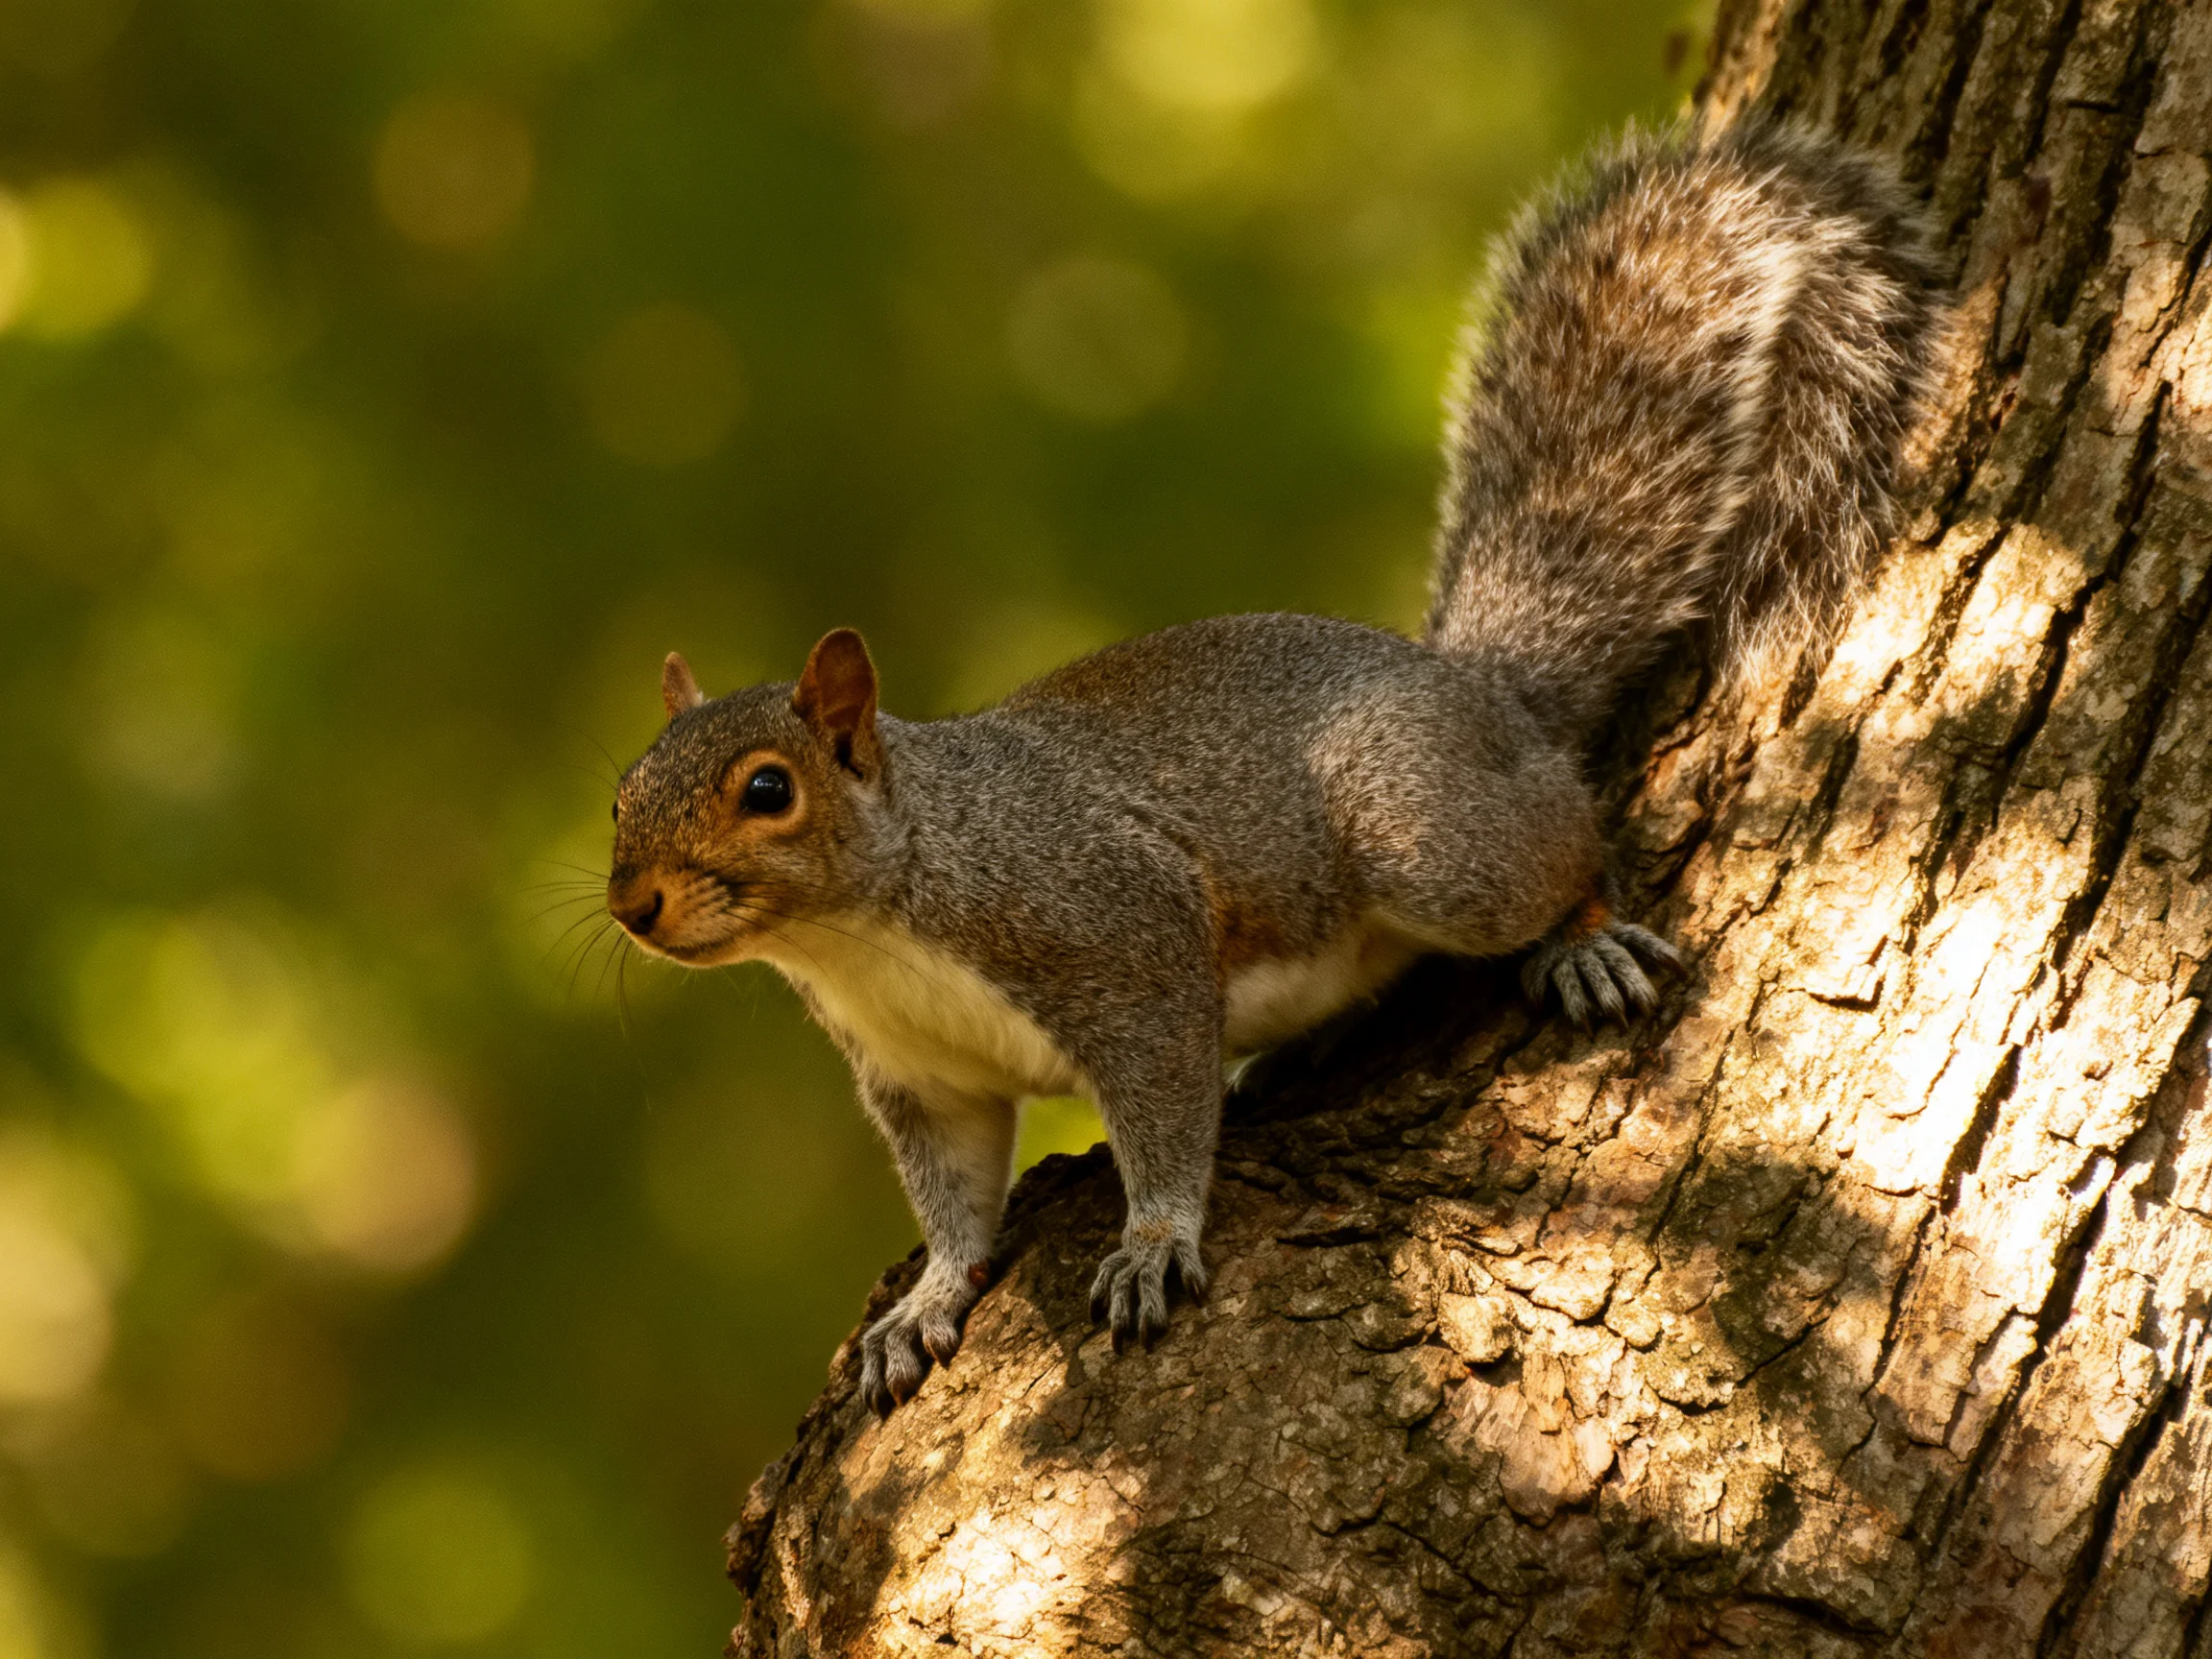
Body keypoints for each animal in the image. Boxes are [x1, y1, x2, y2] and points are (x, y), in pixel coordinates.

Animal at [604, 117, 1943, 1416]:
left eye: (769, 790)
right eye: (620, 795)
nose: (631, 904)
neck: (875, 924)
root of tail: (1482, 693)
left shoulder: (1116, 938)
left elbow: (1159, 1115)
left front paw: (1153, 1242)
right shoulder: (922, 1078)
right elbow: (956, 1203)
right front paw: (929, 1298)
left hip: (1425, 834)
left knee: (1562, 846)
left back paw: (1583, 941)